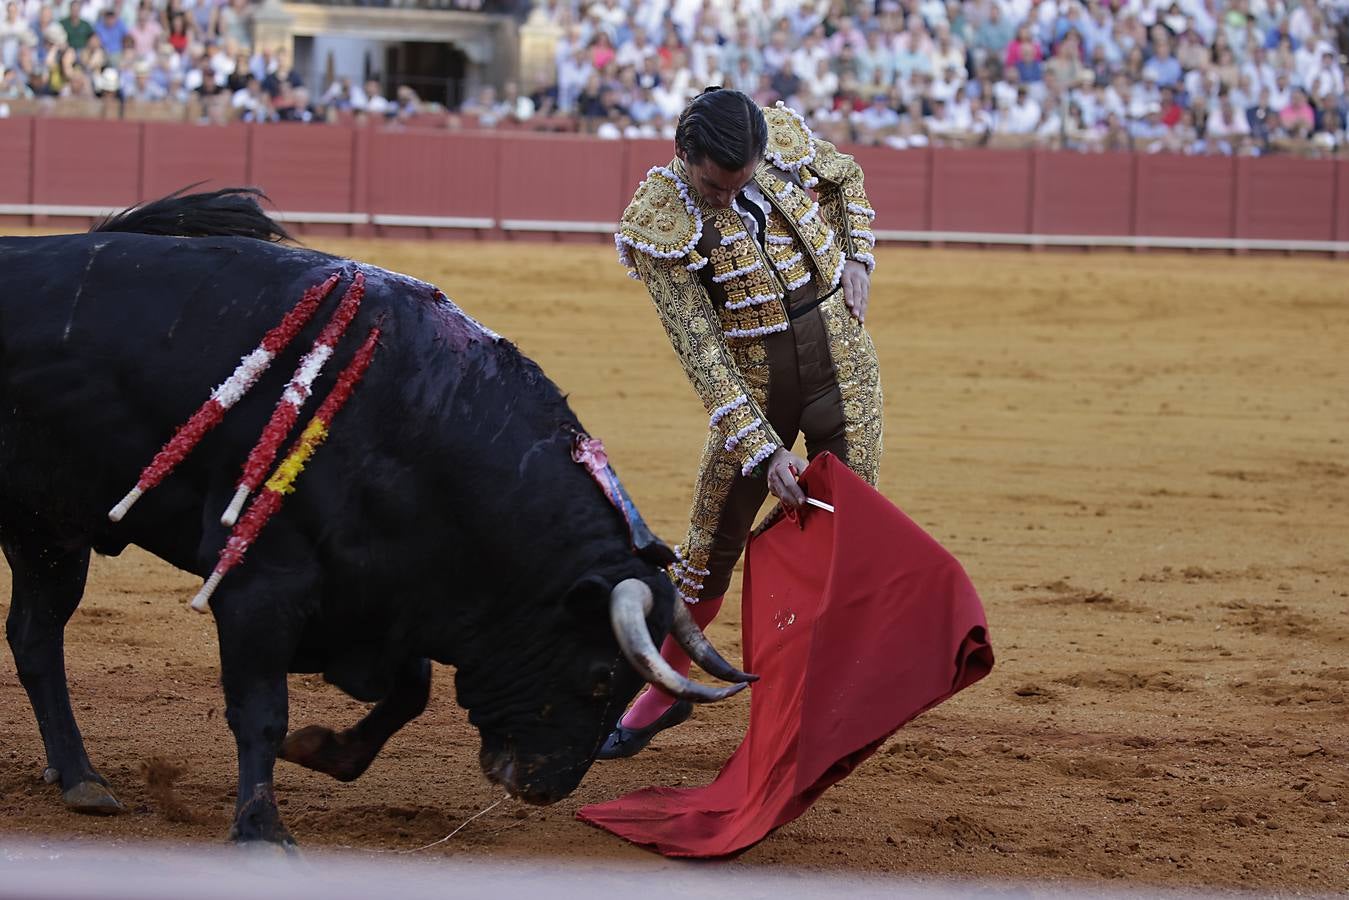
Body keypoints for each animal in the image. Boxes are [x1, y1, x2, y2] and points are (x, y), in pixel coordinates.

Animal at [0, 186, 755, 847]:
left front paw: (322, 750)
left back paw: (81, 779)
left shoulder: (378, 599)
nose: (542, 787)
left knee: (36, 638)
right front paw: (262, 830)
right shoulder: (261, 584)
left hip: (48, 534)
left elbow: (411, 690)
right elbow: (260, 709)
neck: (424, 424)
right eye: (600, 675)